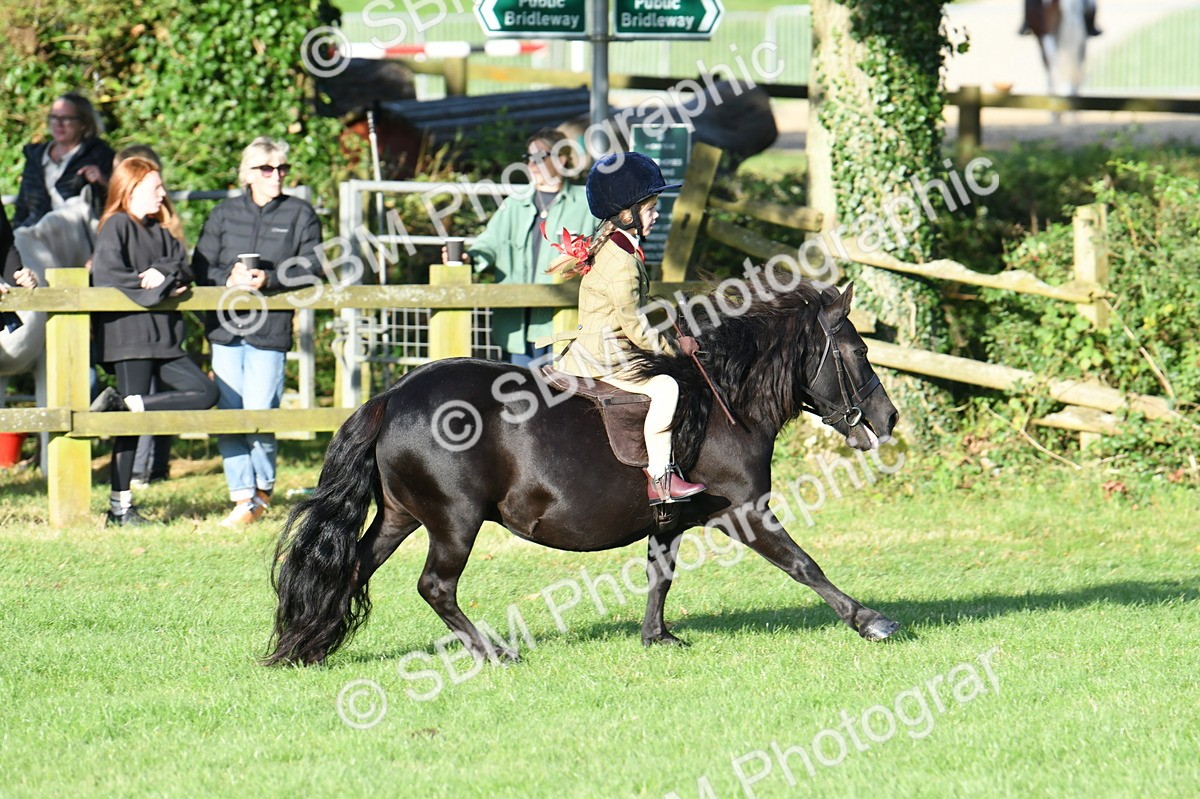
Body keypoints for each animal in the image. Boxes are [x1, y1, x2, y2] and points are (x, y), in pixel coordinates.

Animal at [265, 280, 901, 666]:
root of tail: (393, 396)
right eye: (858, 352)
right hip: (454, 520)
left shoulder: (672, 519)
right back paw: (494, 652)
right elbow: (803, 564)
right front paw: (871, 621)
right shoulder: (744, 510)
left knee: (353, 568)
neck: (724, 401)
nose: (888, 418)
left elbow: (659, 576)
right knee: (435, 586)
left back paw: (312, 644)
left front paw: (657, 637)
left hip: (401, 515)